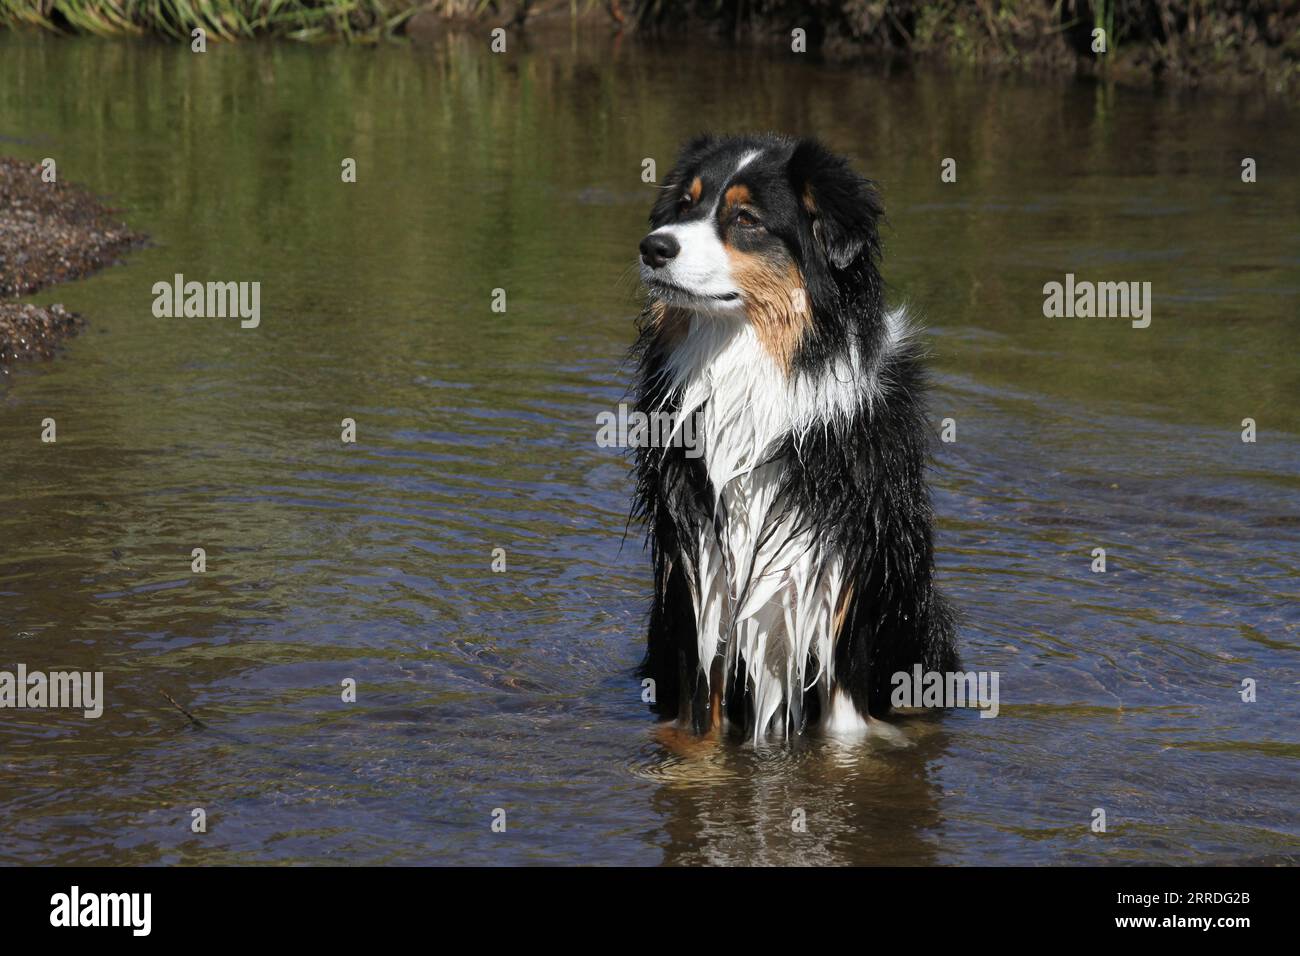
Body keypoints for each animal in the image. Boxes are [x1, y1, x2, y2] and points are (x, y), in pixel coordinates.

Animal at [629, 134, 956, 743]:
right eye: (685, 205)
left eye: (746, 219)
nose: (653, 247)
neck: (751, 370)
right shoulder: (698, 583)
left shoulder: (839, 589)